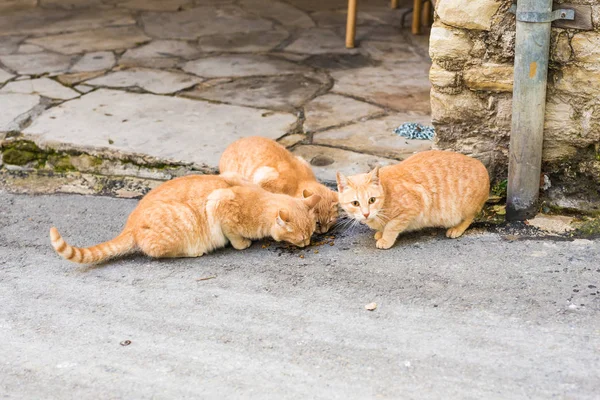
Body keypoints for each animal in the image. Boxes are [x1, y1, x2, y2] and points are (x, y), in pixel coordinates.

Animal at [51, 173, 322, 264]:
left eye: (311, 234)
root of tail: (130, 226)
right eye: (301, 238)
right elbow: (233, 234)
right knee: (157, 252)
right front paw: (242, 243)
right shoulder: (219, 204)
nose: (307, 244)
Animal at [336, 151, 490, 248]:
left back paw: (457, 228)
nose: (366, 214)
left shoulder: (412, 207)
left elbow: (392, 226)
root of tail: (481, 164)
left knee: (470, 217)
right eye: (355, 203)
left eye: (372, 200)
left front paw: (386, 238)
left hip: (464, 208)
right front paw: (380, 232)